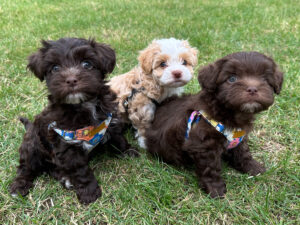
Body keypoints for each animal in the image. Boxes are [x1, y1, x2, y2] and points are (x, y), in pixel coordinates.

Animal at [9, 37, 138, 205]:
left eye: (87, 64)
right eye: (55, 68)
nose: (71, 80)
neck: (83, 105)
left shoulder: (110, 121)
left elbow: (119, 139)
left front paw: (129, 152)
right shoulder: (66, 145)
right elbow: (80, 171)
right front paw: (89, 192)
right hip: (32, 145)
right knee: (26, 167)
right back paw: (19, 186)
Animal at [145, 51, 284, 198]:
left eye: (264, 79)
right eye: (232, 79)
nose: (252, 89)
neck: (230, 113)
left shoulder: (240, 138)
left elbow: (243, 153)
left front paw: (253, 167)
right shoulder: (204, 145)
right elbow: (210, 168)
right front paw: (215, 188)